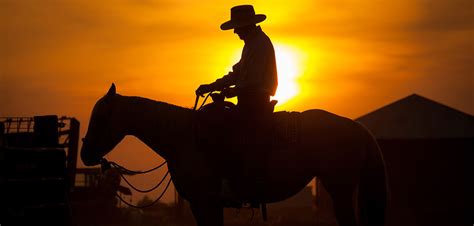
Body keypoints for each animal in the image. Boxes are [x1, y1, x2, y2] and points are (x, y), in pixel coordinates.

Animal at [79, 84, 386, 226]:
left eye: (101, 116)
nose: (85, 153)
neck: (183, 137)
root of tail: (357, 127)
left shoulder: (205, 202)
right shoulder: (203, 204)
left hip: (340, 190)